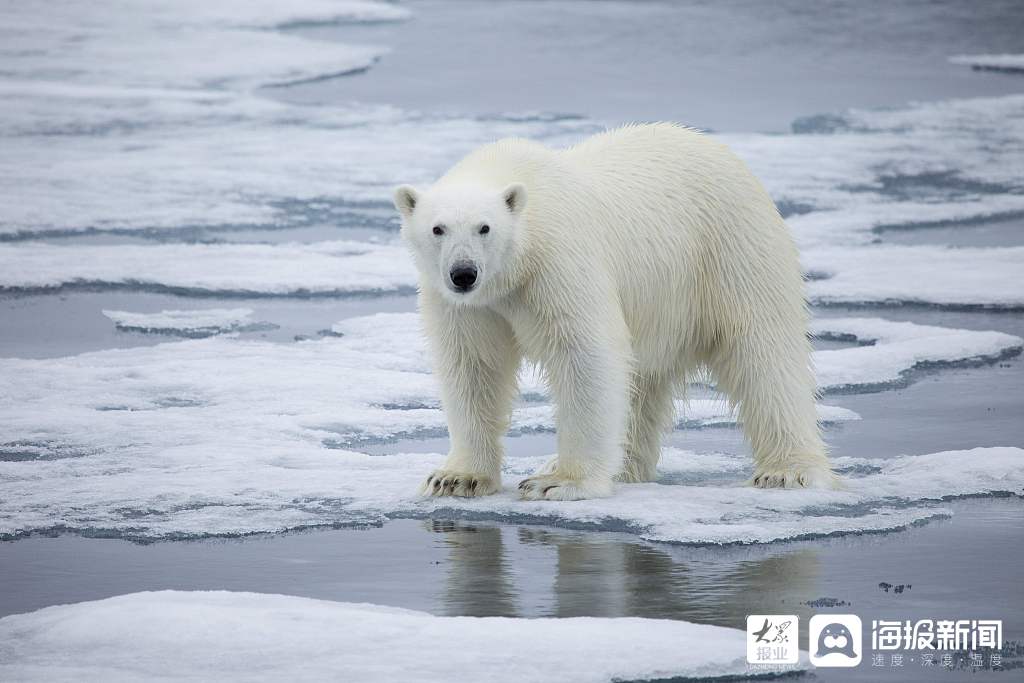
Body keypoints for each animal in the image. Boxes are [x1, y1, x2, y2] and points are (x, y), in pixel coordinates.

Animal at [391, 122, 831, 499]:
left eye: (485, 227)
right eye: (438, 229)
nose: (464, 273)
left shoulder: (559, 262)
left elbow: (585, 356)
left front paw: (560, 482)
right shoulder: (466, 305)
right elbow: (472, 365)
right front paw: (456, 478)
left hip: (730, 249)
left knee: (762, 352)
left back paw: (786, 471)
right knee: (642, 383)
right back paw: (623, 466)